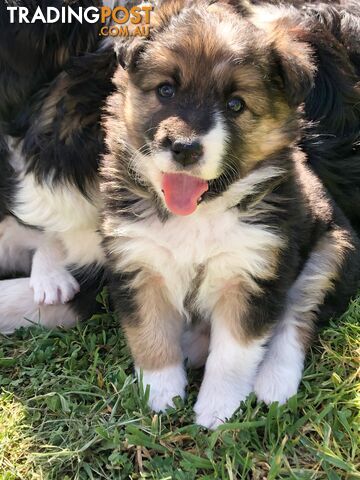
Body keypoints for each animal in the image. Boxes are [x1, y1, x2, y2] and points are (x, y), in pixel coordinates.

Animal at [100, 0, 360, 428]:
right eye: (166, 89)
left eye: (235, 104)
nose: (184, 148)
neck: (198, 214)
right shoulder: (138, 261)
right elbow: (150, 333)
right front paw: (160, 394)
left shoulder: (253, 272)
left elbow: (235, 353)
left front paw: (217, 411)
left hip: (329, 252)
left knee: (296, 318)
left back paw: (275, 383)